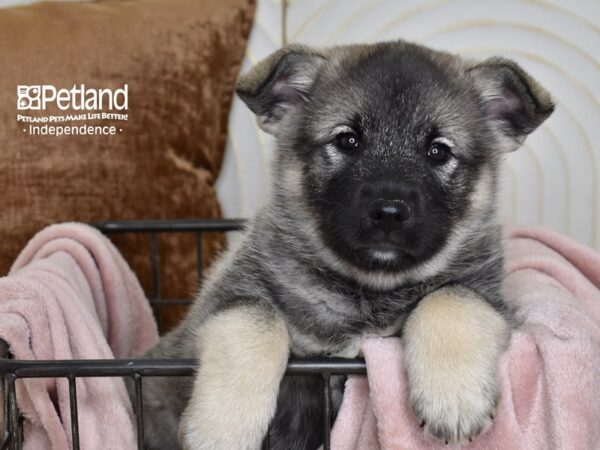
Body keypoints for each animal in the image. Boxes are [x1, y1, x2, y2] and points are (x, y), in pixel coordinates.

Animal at [138, 39, 556, 450]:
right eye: (348, 140)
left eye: (438, 151)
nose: (389, 212)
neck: (369, 292)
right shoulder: (217, 307)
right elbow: (255, 318)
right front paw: (222, 427)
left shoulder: (491, 299)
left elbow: (451, 297)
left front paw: (454, 396)